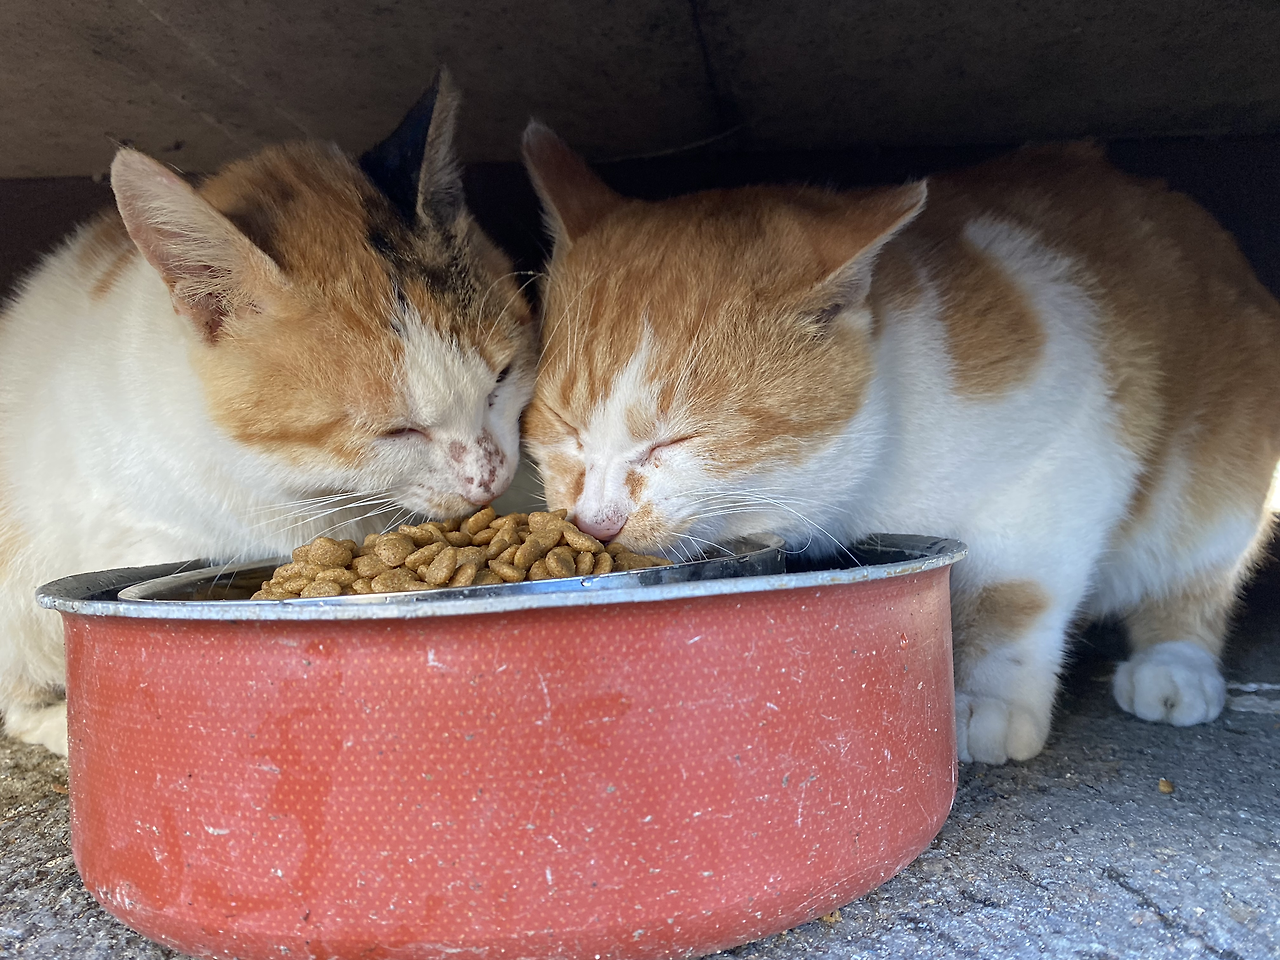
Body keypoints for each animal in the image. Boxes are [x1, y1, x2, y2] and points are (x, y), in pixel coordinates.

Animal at [519, 123, 1280, 765]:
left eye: (676, 439)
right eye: (562, 424)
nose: (596, 520)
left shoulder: (1071, 451)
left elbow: (1014, 591)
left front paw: (990, 699)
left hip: (1222, 480)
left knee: (1199, 576)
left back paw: (1175, 666)